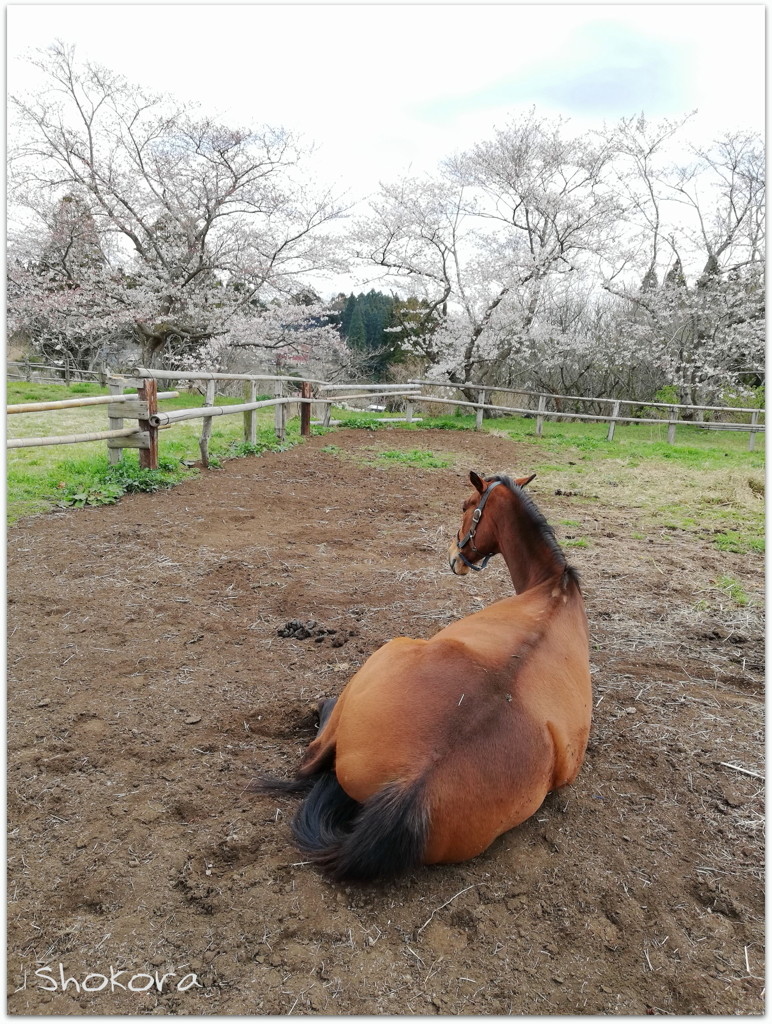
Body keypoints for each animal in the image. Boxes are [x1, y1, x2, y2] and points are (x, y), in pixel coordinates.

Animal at [252, 471, 589, 880]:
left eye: (466, 505)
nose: (454, 557)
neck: (555, 588)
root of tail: (414, 783)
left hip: (389, 650)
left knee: (311, 759)